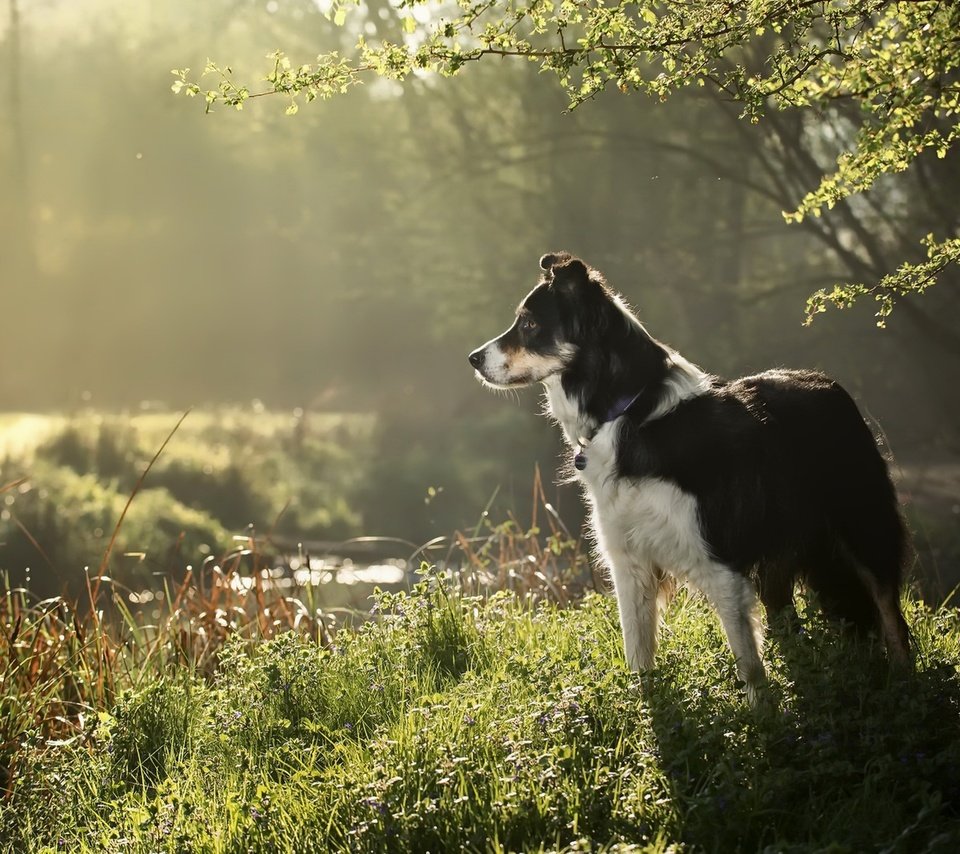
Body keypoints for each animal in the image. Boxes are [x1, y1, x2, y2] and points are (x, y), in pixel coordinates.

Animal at [468, 252, 912, 704]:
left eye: (529, 325)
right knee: (788, 618)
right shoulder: (629, 563)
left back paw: (905, 684)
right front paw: (646, 711)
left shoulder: (720, 563)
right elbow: (638, 655)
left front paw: (763, 716)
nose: (473, 359)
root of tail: (829, 382)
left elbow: (749, 666)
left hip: (864, 527)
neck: (631, 411)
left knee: (891, 615)